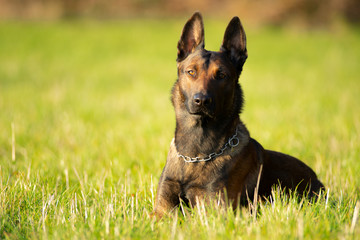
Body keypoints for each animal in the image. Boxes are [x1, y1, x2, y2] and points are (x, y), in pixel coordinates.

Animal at [153, 13, 324, 219]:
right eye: (191, 72)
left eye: (222, 75)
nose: (201, 101)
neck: (196, 153)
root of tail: (318, 180)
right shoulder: (161, 208)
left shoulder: (216, 209)